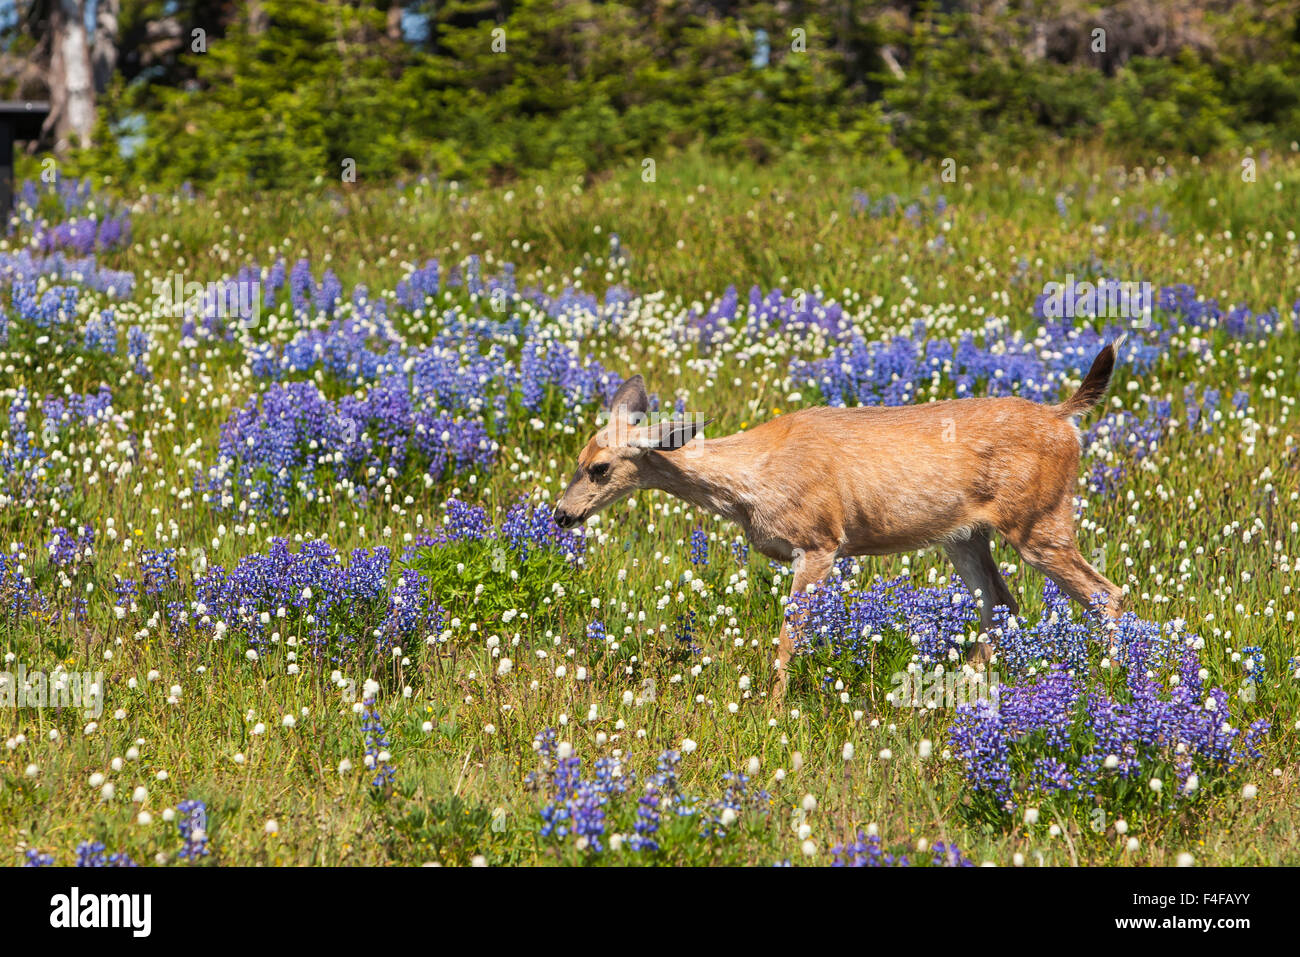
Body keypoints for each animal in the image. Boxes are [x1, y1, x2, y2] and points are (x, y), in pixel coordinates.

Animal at [553, 343, 1123, 702]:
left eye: (599, 468)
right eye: (578, 457)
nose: (561, 515)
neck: (752, 478)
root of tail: (1063, 418)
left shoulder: (820, 540)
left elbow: (791, 634)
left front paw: (775, 708)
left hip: (1039, 519)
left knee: (1106, 594)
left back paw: (1113, 677)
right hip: (965, 536)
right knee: (1002, 601)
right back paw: (960, 688)